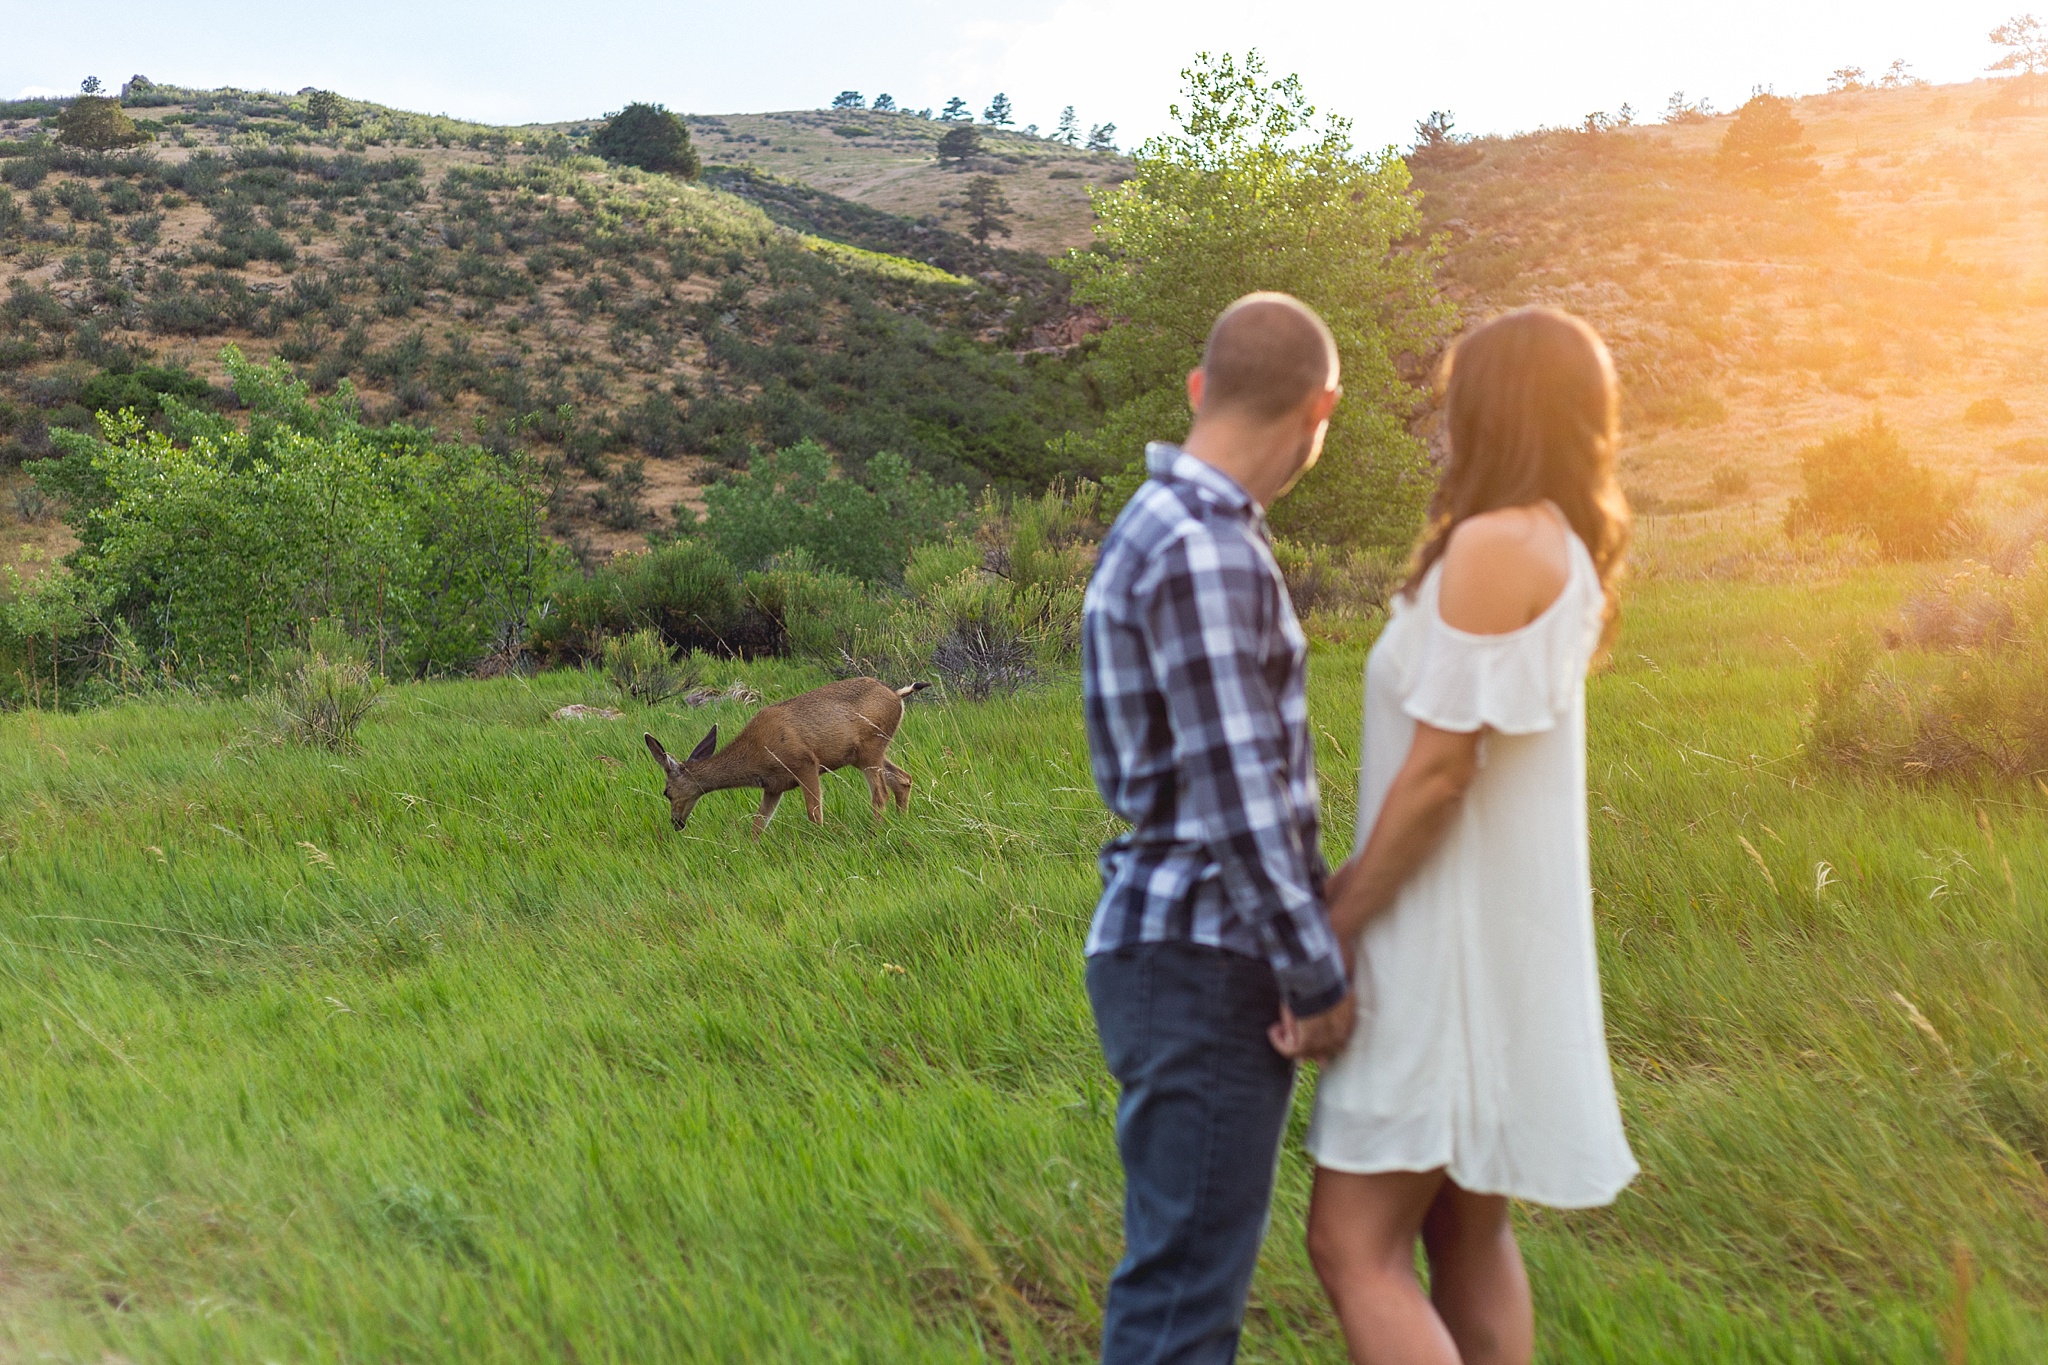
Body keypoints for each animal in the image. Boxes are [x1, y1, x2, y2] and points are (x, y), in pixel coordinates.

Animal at [643, 679, 933, 839]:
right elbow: (758, 825)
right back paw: (900, 823)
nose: (676, 823)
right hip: (867, 753)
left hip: (871, 747)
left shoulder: (804, 763)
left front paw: (820, 842)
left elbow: (814, 813)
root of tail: (897, 695)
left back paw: (877, 831)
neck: (755, 756)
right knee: (903, 779)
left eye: (666, 792)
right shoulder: (773, 787)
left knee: (880, 793)